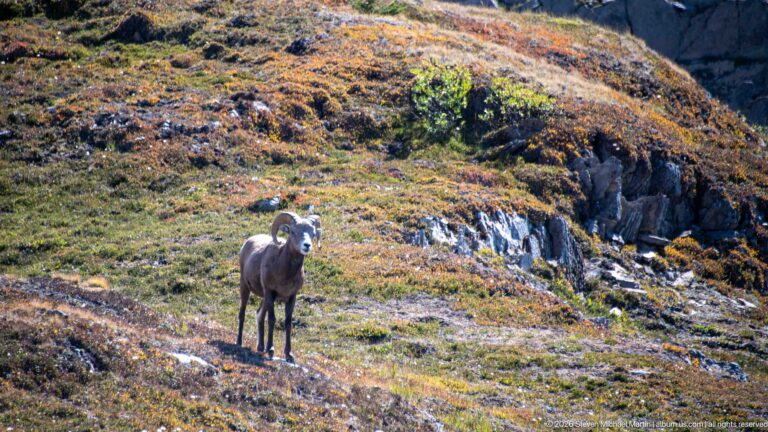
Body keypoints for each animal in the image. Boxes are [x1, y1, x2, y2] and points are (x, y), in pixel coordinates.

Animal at [237, 211, 321, 363]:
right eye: (293, 231)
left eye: (312, 233)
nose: (306, 246)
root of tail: (247, 243)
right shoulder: (270, 293)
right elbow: (272, 320)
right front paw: (270, 350)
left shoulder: (291, 297)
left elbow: (288, 323)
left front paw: (289, 355)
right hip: (245, 287)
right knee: (243, 313)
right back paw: (239, 343)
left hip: (264, 298)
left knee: (259, 314)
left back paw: (260, 347)